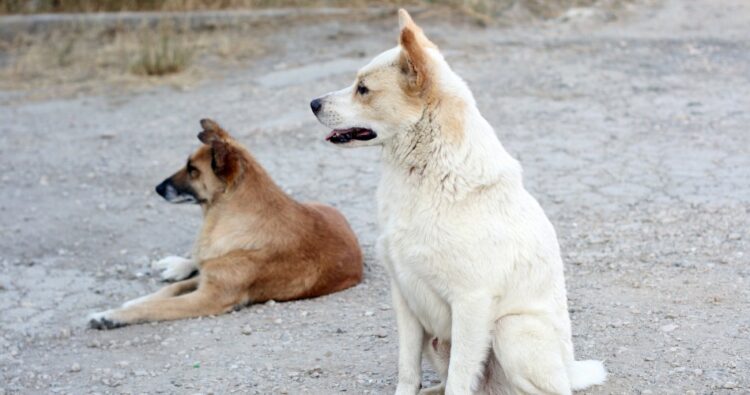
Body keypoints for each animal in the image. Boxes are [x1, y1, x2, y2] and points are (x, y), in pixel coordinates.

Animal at [89, 119, 366, 330]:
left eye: (192, 170)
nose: (157, 189)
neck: (230, 215)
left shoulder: (209, 297)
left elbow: (158, 305)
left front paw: (109, 316)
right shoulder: (208, 280)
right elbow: (170, 290)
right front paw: (131, 302)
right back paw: (178, 265)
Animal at [310, 9, 604, 395]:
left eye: (363, 89)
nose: (313, 104)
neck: (426, 173)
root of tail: (571, 371)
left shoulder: (471, 302)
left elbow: (461, 377)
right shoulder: (404, 297)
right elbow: (408, 370)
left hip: (511, 331)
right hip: (439, 341)